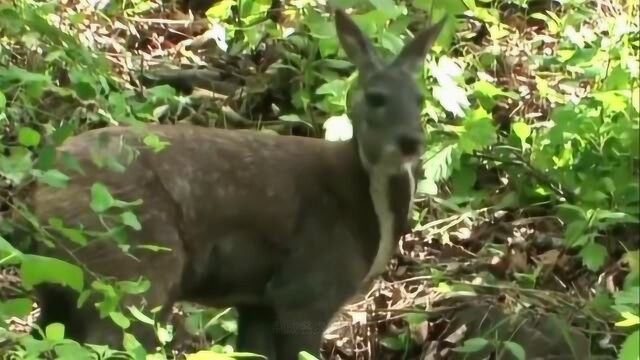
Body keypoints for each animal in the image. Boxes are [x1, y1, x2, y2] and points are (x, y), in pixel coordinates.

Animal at [23, 9, 444, 360]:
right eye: (376, 97)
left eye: (420, 98)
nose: (411, 142)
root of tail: (44, 186)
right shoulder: (307, 289)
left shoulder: (258, 300)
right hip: (133, 269)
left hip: (58, 281)